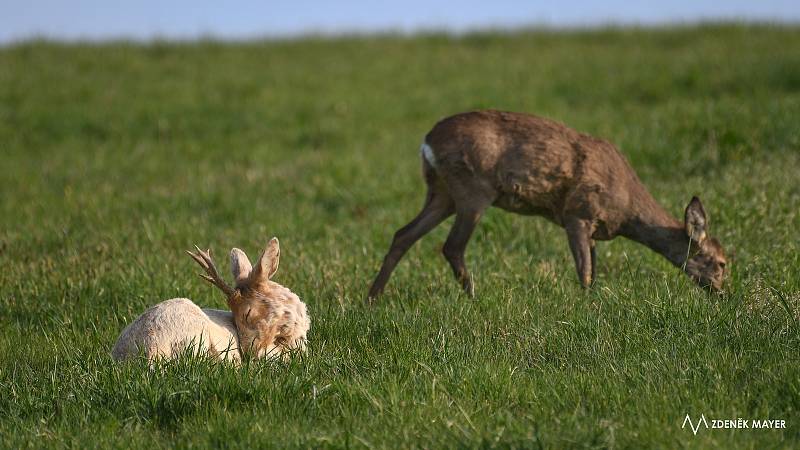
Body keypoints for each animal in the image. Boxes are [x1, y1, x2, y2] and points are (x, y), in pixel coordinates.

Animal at [368, 109, 732, 300]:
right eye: (722, 262)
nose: (721, 293)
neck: (628, 208)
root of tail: (426, 142)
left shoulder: (592, 226)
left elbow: (593, 267)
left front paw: (593, 299)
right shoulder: (577, 213)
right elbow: (585, 269)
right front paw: (586, 304)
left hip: (442, 193)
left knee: (403, 234)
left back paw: (373, 298)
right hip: (472, 190)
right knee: (452, 246)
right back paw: (473, 296)